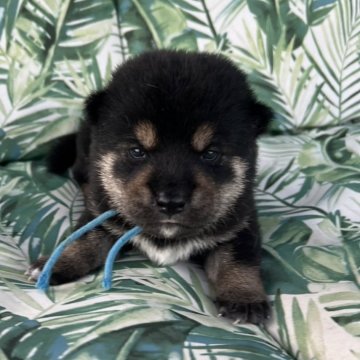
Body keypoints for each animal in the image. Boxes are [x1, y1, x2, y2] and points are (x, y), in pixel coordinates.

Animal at [28, 50, 272, 324]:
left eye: (211, 154)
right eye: (137, 151)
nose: (170, 202)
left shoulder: (241, 220)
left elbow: (239, 258)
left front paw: (244, 297)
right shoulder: (101, 210)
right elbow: (84, 238)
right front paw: (56, 264)